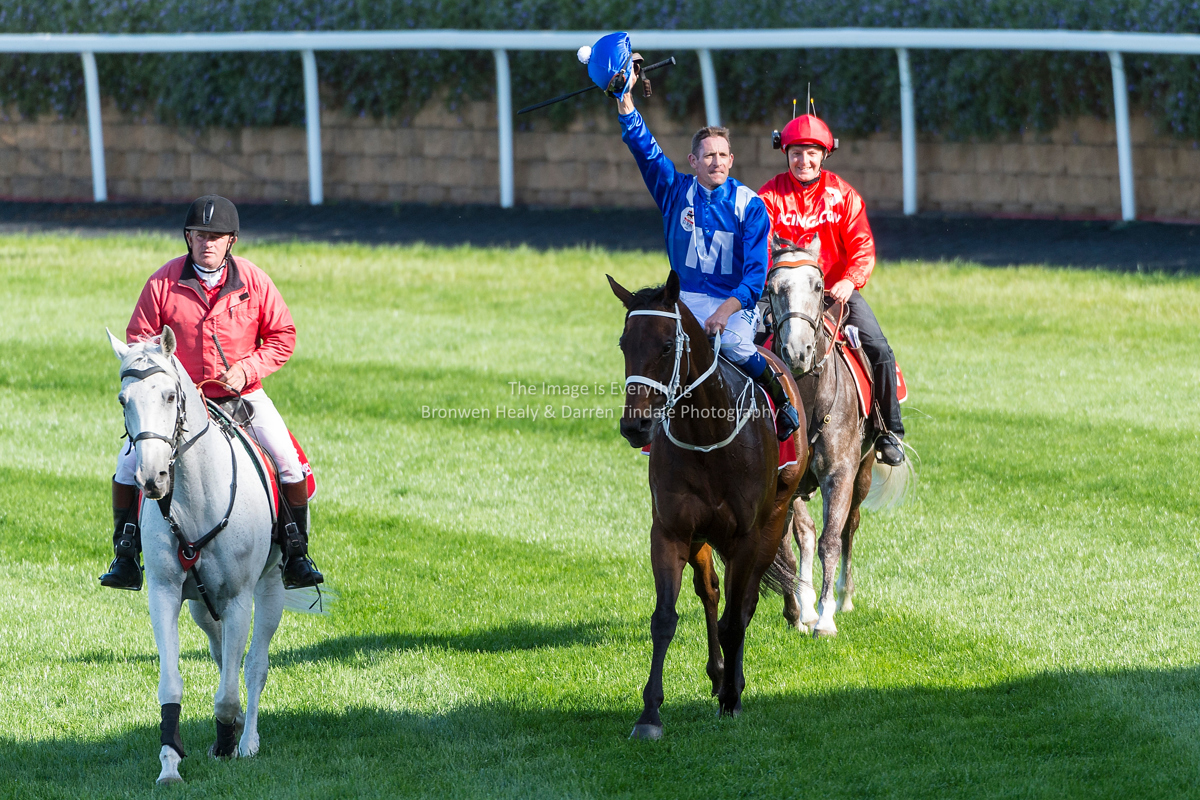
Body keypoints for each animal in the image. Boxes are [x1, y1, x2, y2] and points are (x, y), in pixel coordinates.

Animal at [108, 326, 285, 786]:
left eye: (170, 395)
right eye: (123, 400)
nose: (151, 478)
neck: (196, 494)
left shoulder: (239, 599)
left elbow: (229, 692)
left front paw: (228, 744)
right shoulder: (166, 593)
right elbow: (172, 684)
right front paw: (170, 762)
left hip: (271, 588)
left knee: (254, 665)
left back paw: (248, 739)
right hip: (202, 606)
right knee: (223, 652)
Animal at [609, 272, 806, 743]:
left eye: (666, 345)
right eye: (624, 343)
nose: (634, 425)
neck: (707, 436)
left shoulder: (746, 537)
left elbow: (738, 617)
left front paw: (732, 700)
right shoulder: (670, 531)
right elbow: (665, 618)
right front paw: (650, 714)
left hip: (774, 520)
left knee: (744, 604)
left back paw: (732, 682)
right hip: (702, 537)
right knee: (711, 592)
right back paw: (718, 673)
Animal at [768, 237, 907, 638]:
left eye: (818, 286)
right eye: (772, 288)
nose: (797, 352)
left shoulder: (840, 473)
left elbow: (830, 539)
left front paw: (825, 618)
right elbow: (790, 540)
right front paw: (797, 611)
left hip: (864, 469)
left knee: (849, 527)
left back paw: (843, 598)